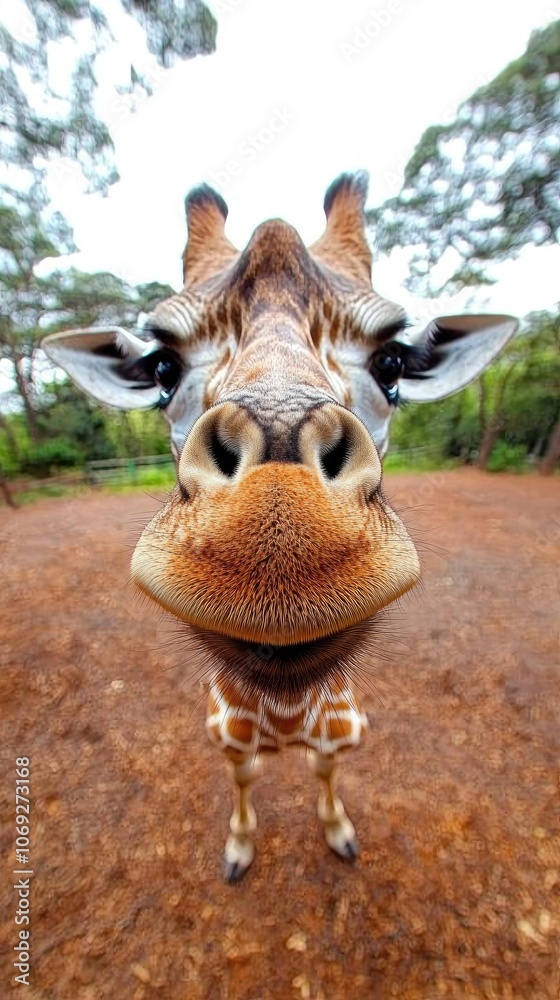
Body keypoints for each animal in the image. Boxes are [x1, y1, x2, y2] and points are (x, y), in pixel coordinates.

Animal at [43, 171, 516, 882]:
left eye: (392, 364)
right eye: (162, 369)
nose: (279, 517)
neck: (290, 716)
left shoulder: (344, 734)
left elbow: (325, 772)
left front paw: (339, 833)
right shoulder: (227, 739)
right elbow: (244, 782)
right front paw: (239, 849)